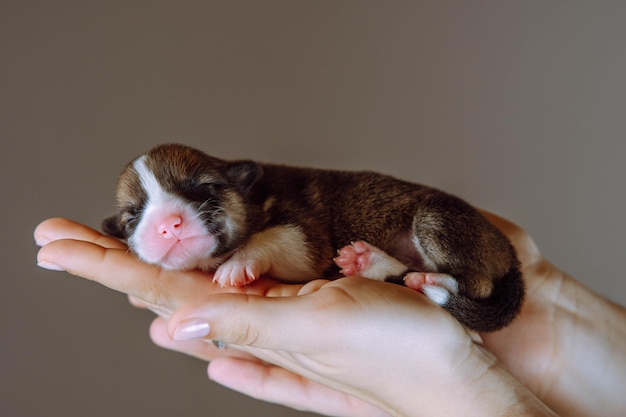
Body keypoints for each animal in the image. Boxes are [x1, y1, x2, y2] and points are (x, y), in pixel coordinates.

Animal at [102, 143, 520, 332]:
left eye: (204, 189)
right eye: (132, 217)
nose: (167, 224)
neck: (256, 197)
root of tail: (510, 253)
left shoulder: (304, 236)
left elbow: (273, 239)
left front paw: (238, 263)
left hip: (439, 219)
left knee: (477, 283)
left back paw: (429, 279)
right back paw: (368, 262)